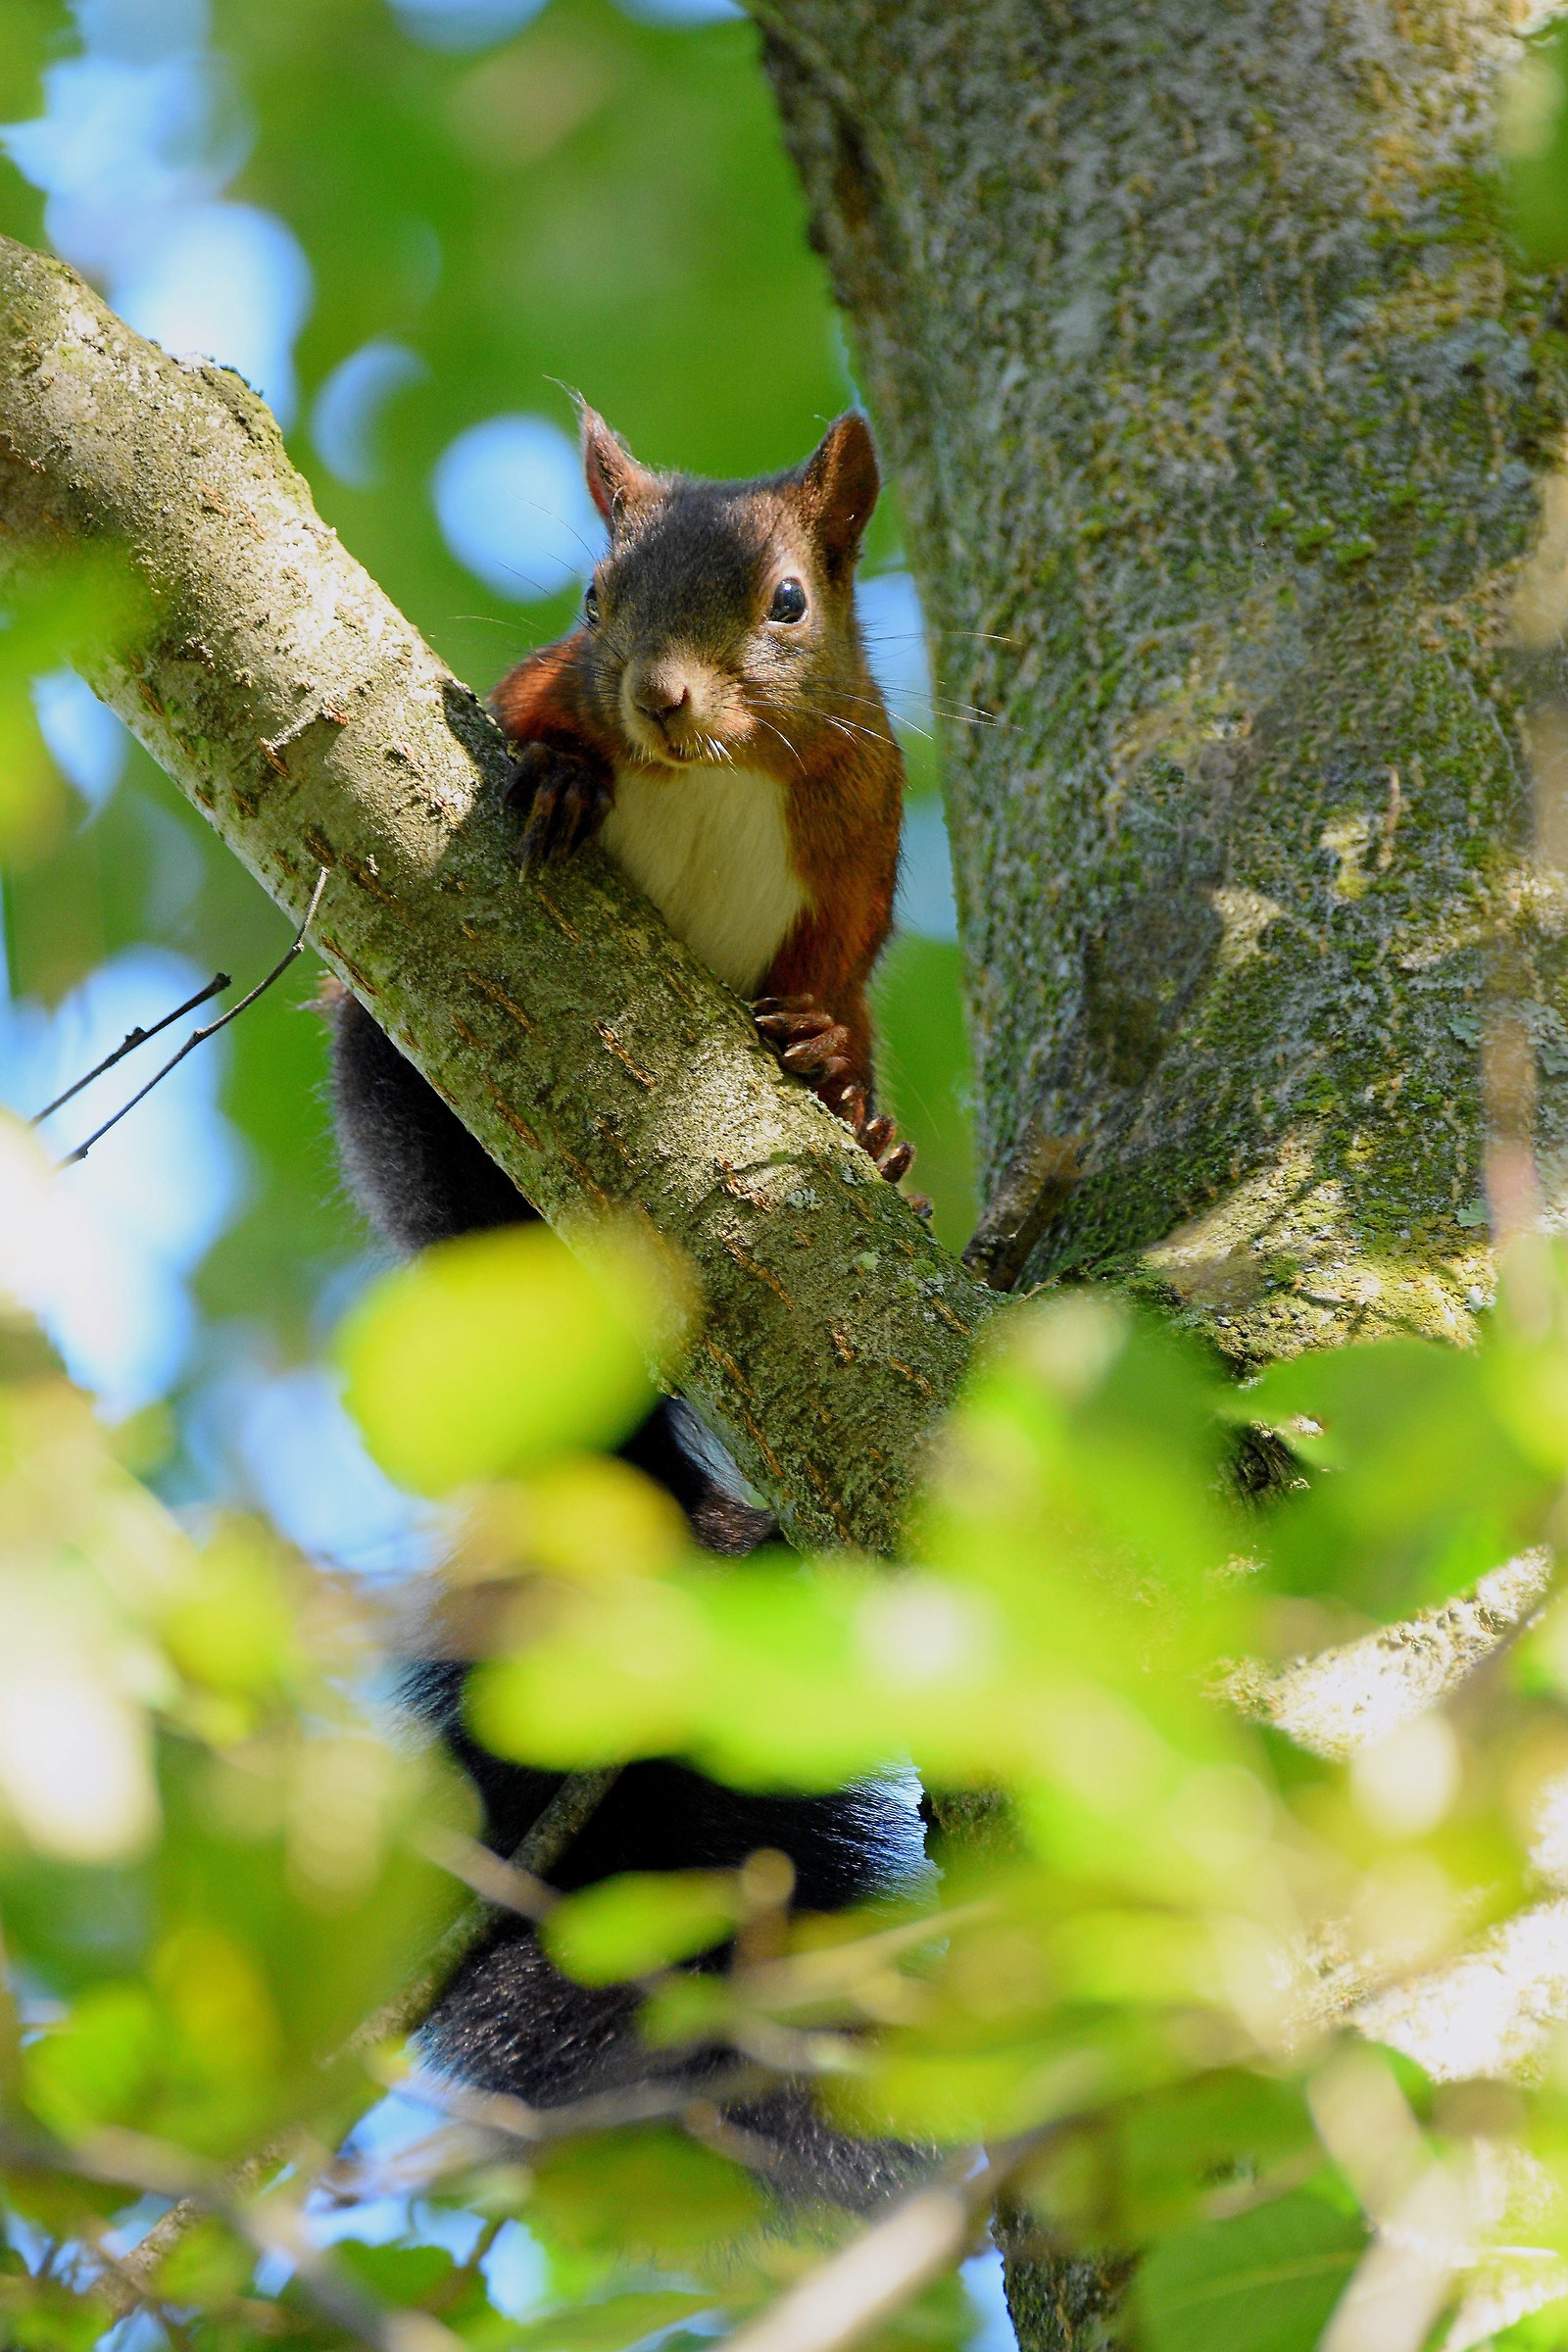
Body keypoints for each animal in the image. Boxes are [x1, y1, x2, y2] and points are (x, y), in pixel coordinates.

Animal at [329, 409, 924, 2209]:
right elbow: (528, 724)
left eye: (791, 600)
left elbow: (843, 983)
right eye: (594, 594)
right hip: (402, 1079)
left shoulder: (862, 842)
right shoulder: (534, 685)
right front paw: (571, 777)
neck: (715, 773)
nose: (655, 697)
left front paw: (849, 1092)